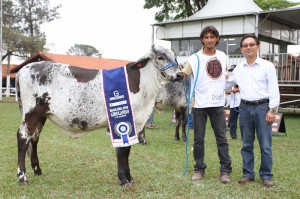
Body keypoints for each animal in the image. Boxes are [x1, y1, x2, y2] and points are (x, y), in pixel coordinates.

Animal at [15, 44, 179, 185]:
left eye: (174, 56)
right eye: (160, 57)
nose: (180, 74)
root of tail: (23, 69)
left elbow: (127, 149)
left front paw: (129, 177)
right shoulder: (120, 120)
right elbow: (122, 150)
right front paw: (124, 179)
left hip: (41, 115)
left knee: (34, 139)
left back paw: (37, 170)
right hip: (31, 113)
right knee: (23, 138)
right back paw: (23, 177)